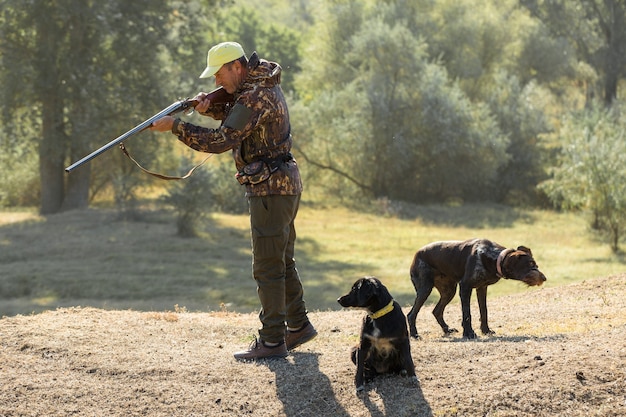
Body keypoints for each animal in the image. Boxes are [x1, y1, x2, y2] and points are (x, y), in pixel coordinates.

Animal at [404, 239, 544, 340]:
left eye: (536, 264)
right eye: (530, 264)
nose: (544, 278)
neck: (492, 257)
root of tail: (416, 254)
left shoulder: (482, 288)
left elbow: (484, 311)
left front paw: (486, 330)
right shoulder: (465, 287)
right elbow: (467, 314)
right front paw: (469, 333)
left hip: (449, 291)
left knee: (436, 311)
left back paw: (447, 330)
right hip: (425, 289)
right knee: (411, 314)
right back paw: (414, 335)